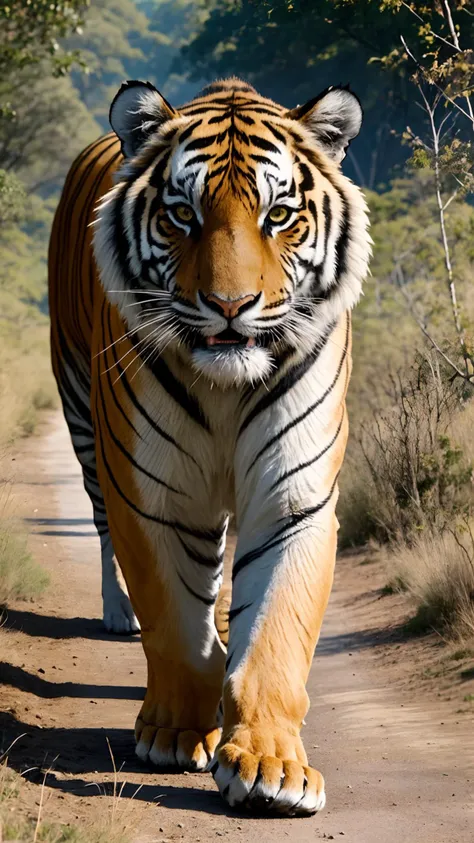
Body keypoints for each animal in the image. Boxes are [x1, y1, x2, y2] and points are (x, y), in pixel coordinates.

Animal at [50, 77, 372, 816]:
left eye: (279, 215)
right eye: (181, 215)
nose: (231, 305)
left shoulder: (292, 496)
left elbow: (276, 626)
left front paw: (272, 765)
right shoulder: (152, 490)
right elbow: (174, 619)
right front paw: (174, 731)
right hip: (82, 416)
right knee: (103, 529)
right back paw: (118, 616)